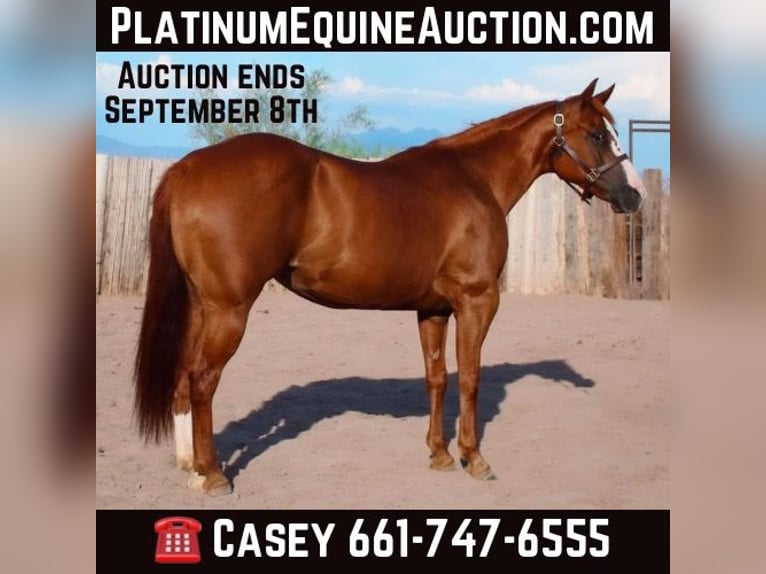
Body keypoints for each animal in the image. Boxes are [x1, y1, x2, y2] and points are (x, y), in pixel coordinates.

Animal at [134, 78, 646, 496]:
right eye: (597, 134)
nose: (634, 196)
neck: (474, 179)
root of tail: (190, 166)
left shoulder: (434, 308)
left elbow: (438, 377)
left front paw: (439, 454)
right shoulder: (477, 301)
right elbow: (471, 378)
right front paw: (474, 458)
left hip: (202, 306)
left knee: (183, 378)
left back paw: (191, 468)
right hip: (229, 309)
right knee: (203, 379)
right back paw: (214, 475)